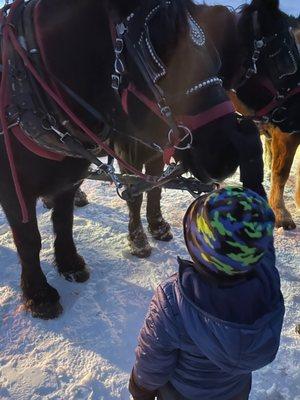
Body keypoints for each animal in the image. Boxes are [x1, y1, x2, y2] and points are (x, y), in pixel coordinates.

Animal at [0, 0, 262, 318]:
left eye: (214, 55)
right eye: (159, 53)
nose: (226, 152)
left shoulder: (72, 174)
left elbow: (65, 220)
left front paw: (69, 263)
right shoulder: (13, 187)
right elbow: (29, 238)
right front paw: (38, 294)